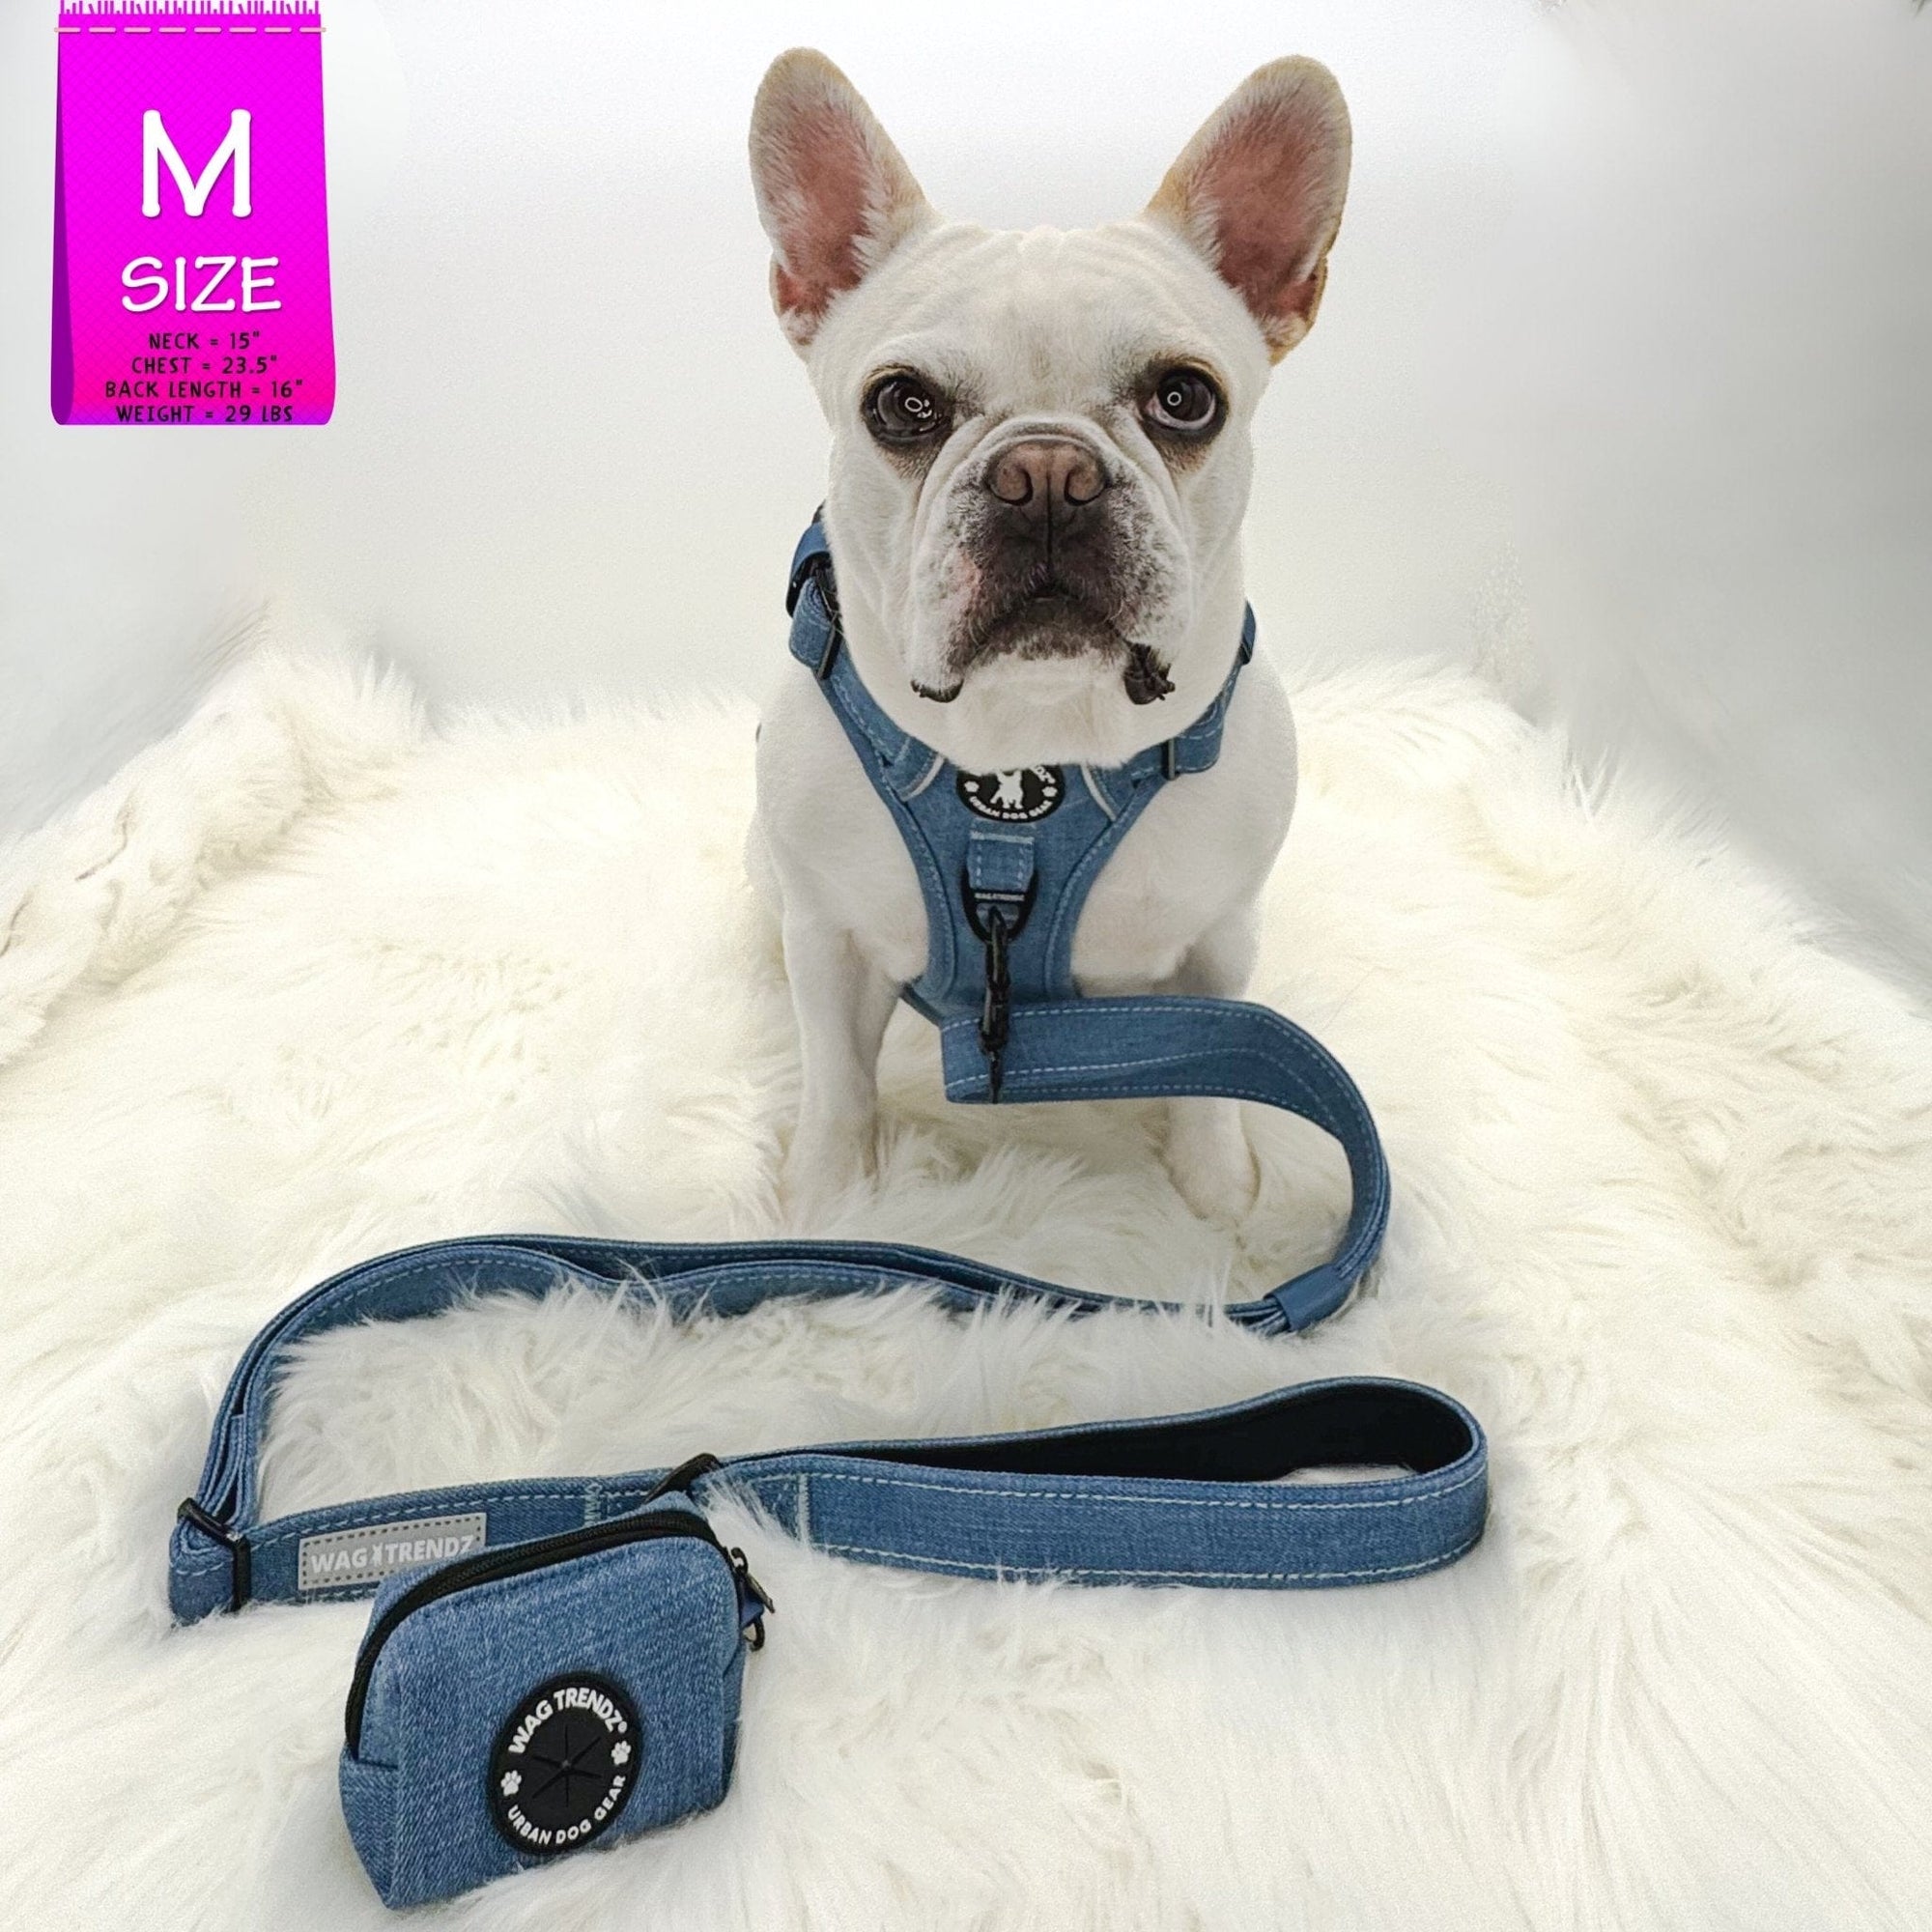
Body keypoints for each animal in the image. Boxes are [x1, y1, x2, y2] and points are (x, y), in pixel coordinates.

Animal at [745, 48, 1351, 1224]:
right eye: (900, 405)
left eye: (1185, 398)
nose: (1046, 475)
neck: (1028, 747)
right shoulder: (831, 942)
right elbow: (838, 1084)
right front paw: (832, 1199)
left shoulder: (1220, 939)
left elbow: (1214, 1080)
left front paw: (1216, 1193)